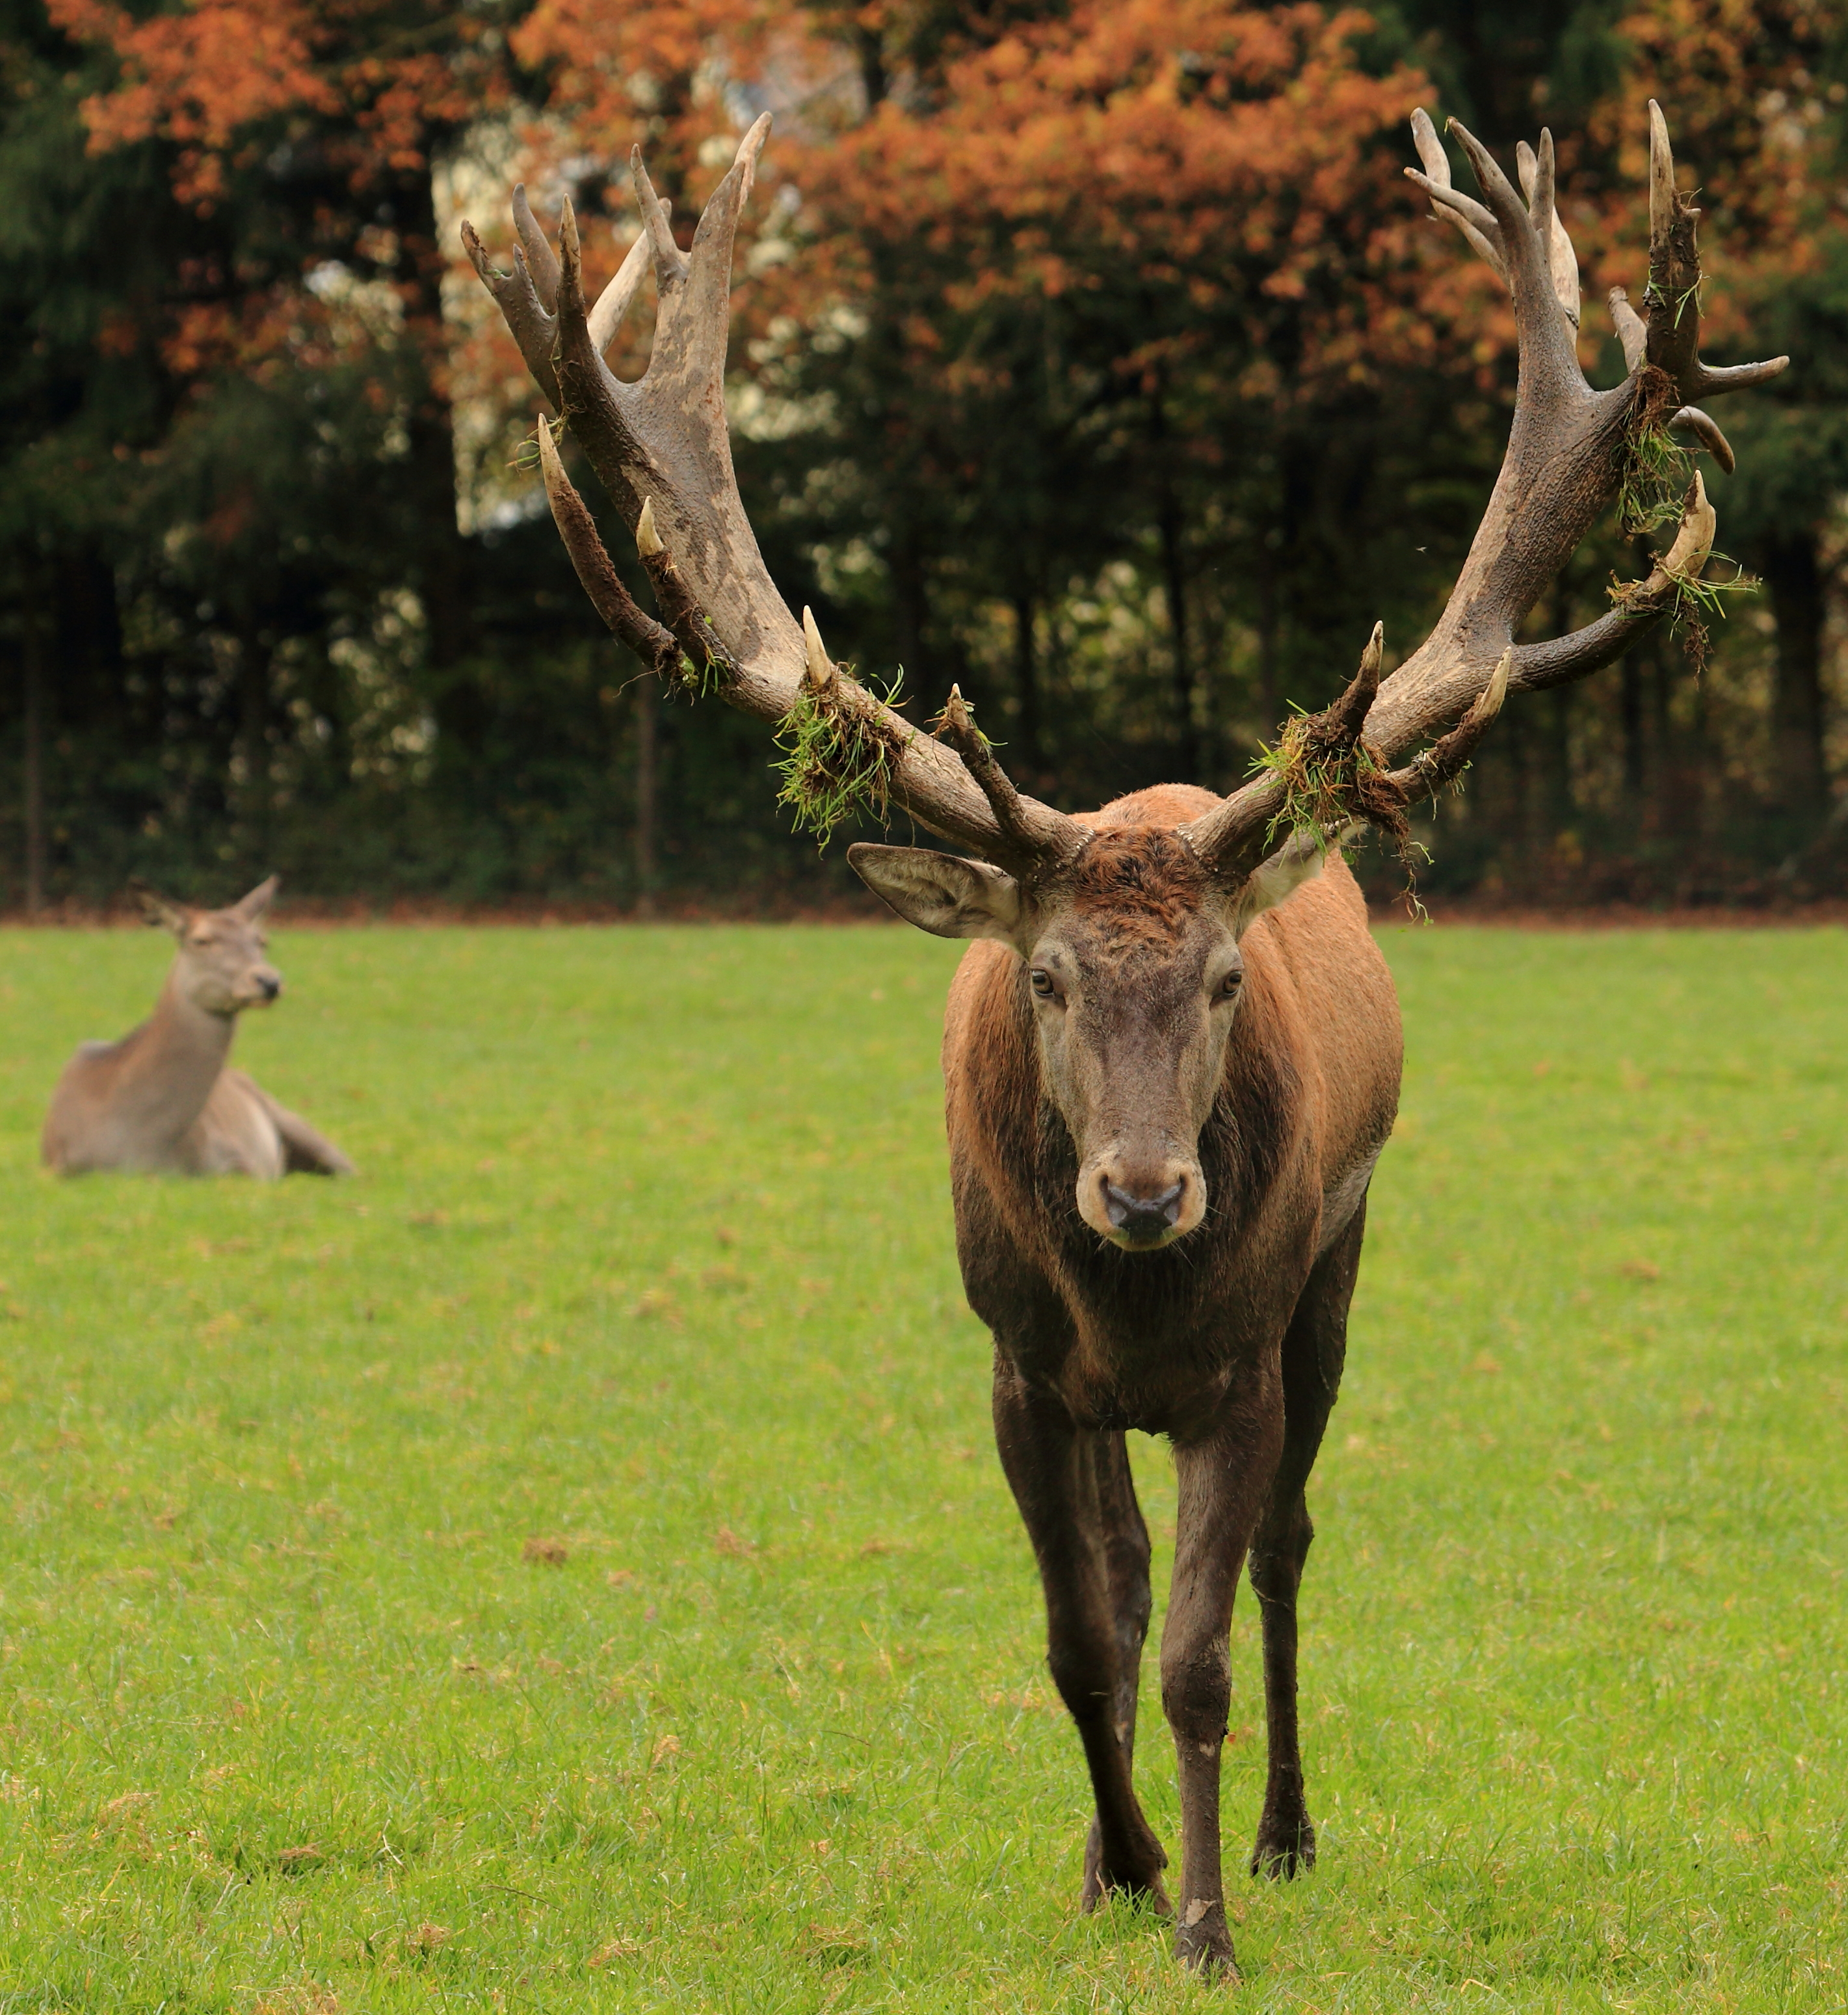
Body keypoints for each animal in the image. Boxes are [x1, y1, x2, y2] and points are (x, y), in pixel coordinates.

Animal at [465, 102, 1789, 1975]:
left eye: (1227, 979)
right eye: (1043, 981)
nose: (1146, 1193)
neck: (1134, 1309)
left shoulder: (1238, 1363)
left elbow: (1199, 1650)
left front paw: (1211, 1919)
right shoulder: (1018, 1365)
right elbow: (1082, 1631)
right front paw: (1123, 1862)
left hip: (1337, 1269)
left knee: (1292, 1547)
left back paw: (1289, 1827)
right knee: (1125, 1556)